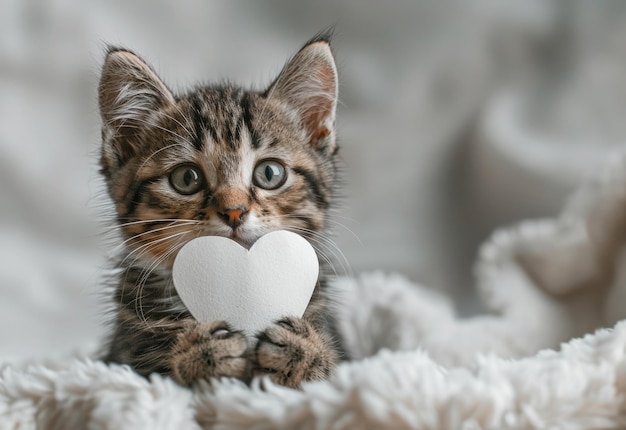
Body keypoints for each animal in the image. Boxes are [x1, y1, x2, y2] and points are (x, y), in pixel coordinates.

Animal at [98, 33, 342, 388]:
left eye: (270, 173)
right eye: (186, 178)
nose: (234, 212)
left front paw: (304, 351)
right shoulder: (121, 357)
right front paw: (202, 353)